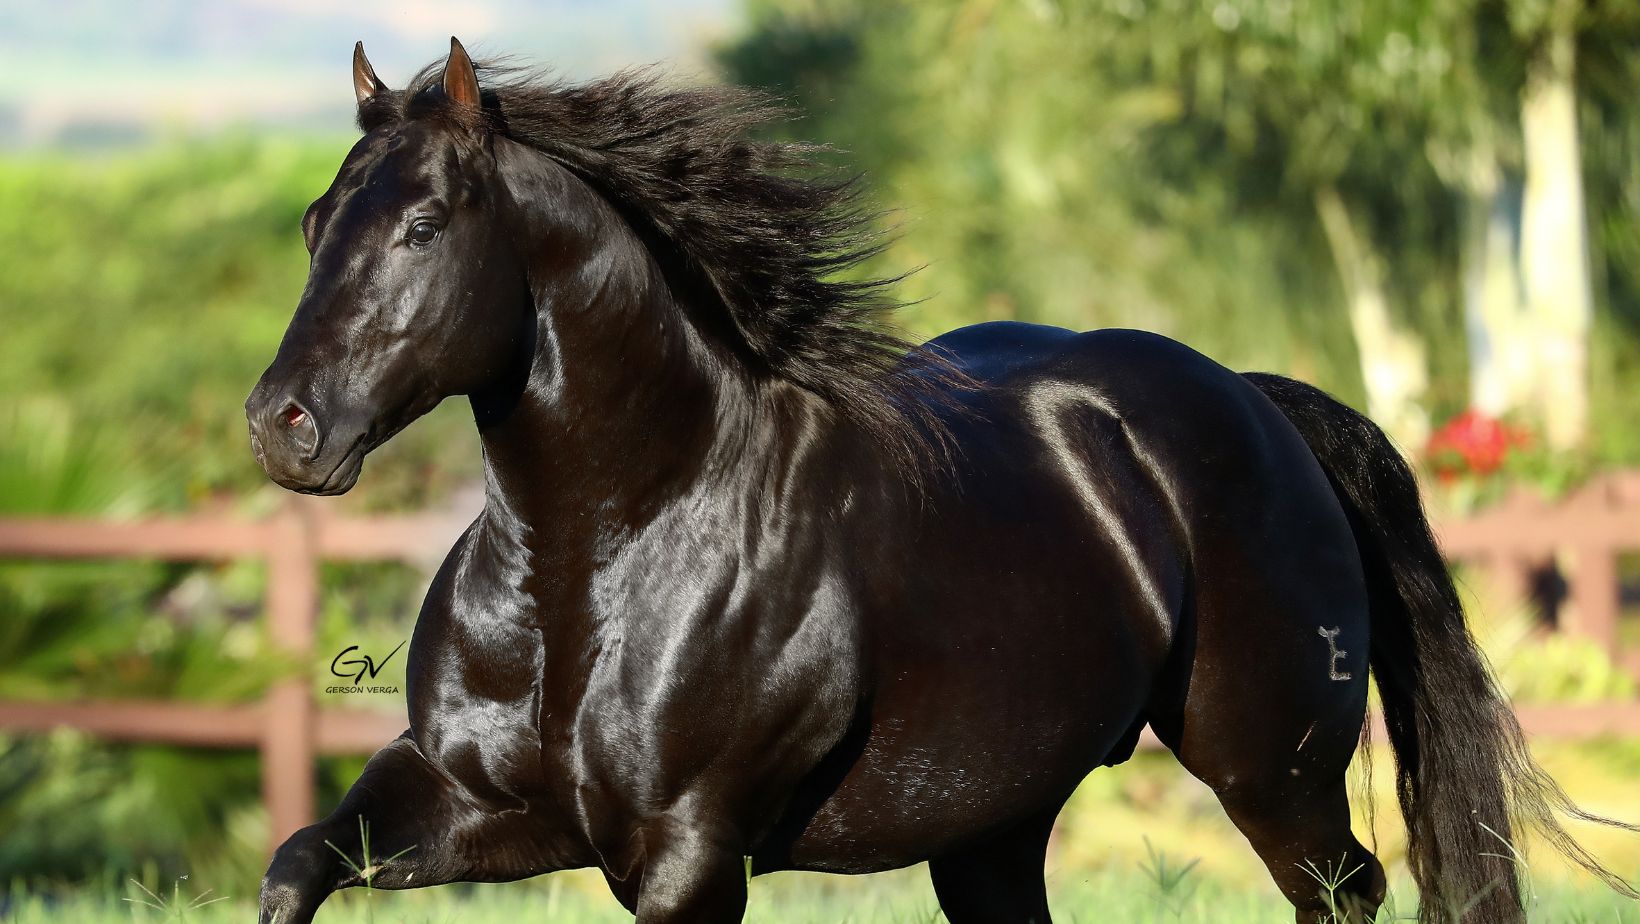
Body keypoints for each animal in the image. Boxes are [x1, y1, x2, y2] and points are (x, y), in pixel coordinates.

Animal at [245, 38, 1634, 924]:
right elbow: (295, 864)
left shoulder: (687, 854)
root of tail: (1254, 403)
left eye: (422, 226)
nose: (282, 427)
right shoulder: (469, 801)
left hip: (1270, 774)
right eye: (314, 226)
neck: (603, 557)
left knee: (1343, 891)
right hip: (992, 828)